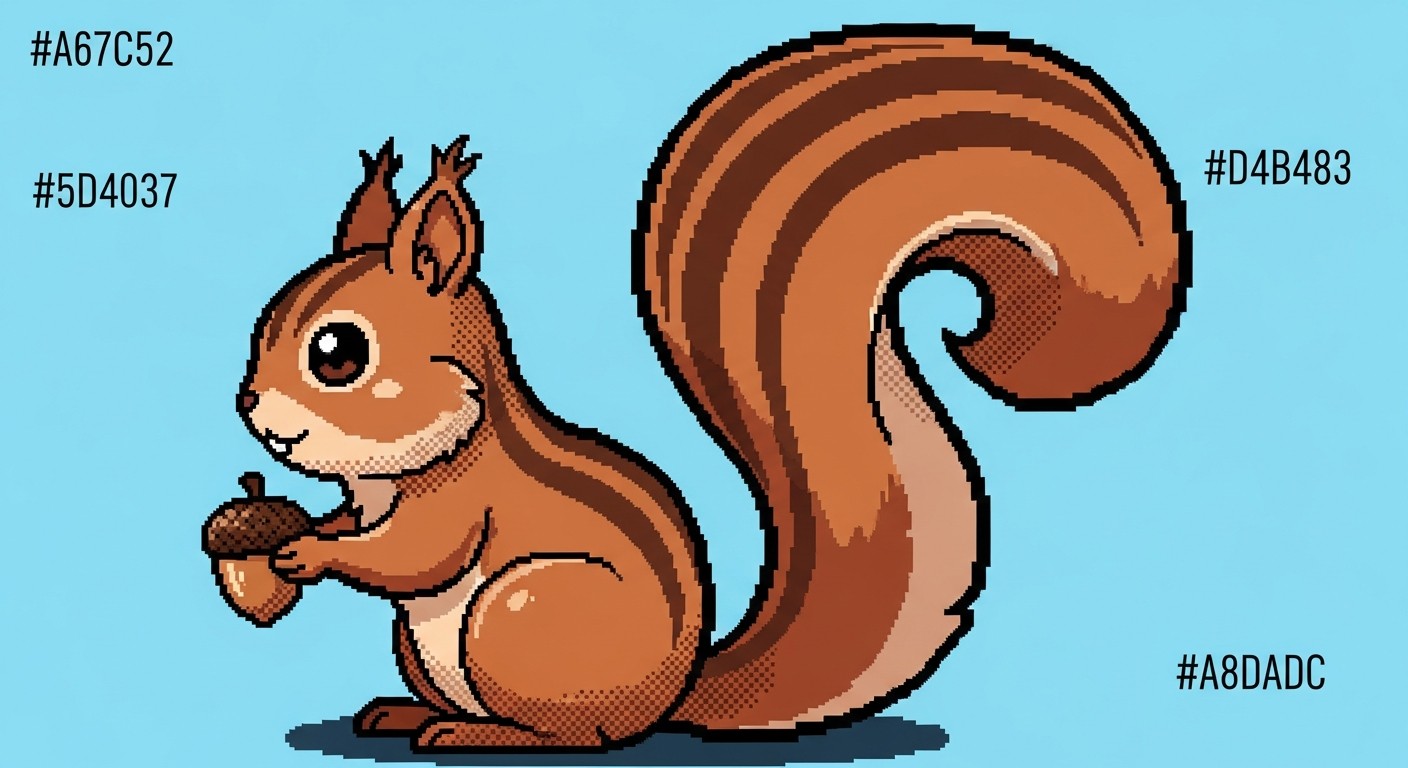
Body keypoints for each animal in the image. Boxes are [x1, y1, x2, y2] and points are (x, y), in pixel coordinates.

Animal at [234, 26, 1188, 752]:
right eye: (269, 319)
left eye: (338, 352)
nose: (256, 419)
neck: (400, 461)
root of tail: (674, 696)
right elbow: (365, 533)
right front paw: (302, 529)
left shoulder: (461, 504)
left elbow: (414, 554)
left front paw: (308, 553)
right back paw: (406, 712)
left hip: (520, 614)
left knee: (579, 737)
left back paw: (483, 733)